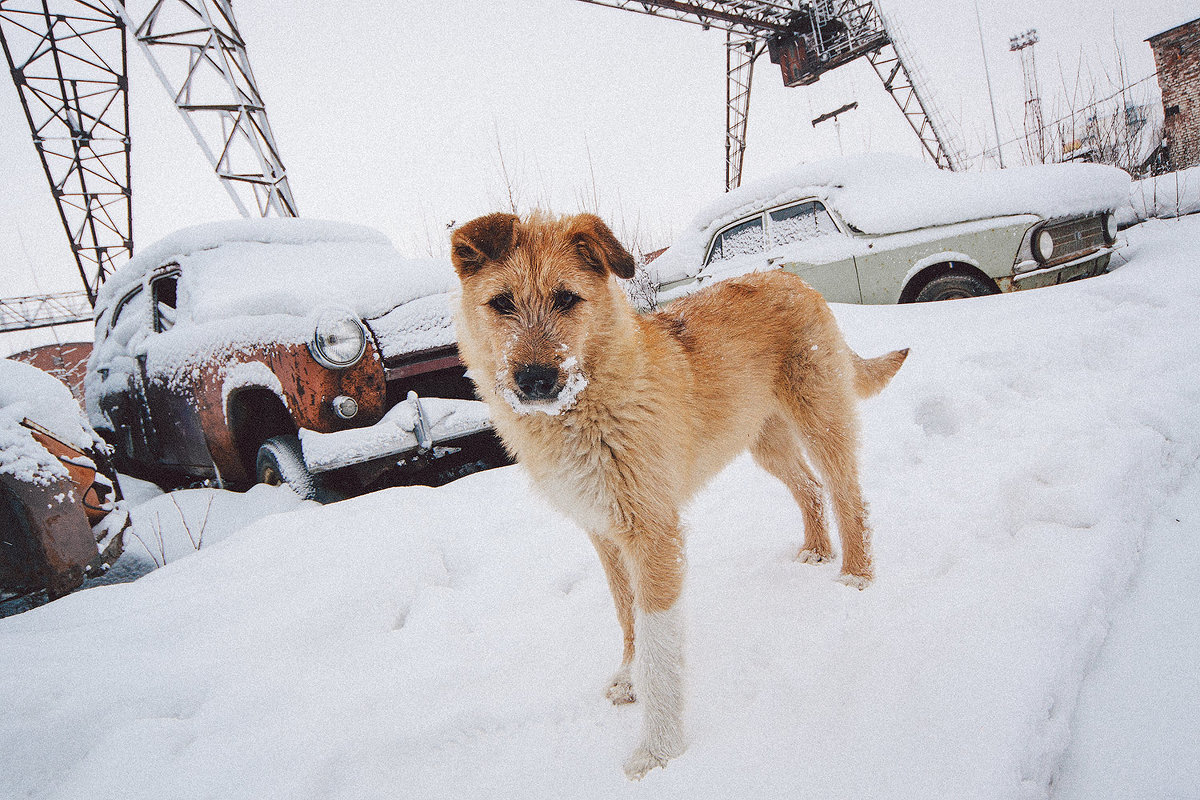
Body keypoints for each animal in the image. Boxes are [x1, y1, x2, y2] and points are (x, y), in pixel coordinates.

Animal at [451, 209, 907, 777]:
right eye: (501, 303)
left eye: (567, 298)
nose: (535, 379)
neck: (590, 407)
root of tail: (793, 280)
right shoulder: (604, 534)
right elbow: (627, 615)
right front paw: (628, 678)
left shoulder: (652, 532)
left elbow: (659, 646)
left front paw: (659, 750)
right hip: (765, 441)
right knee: (810, 488)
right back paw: (817, 551)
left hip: (821, 419)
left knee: (849, 494)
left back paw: (856, 575)